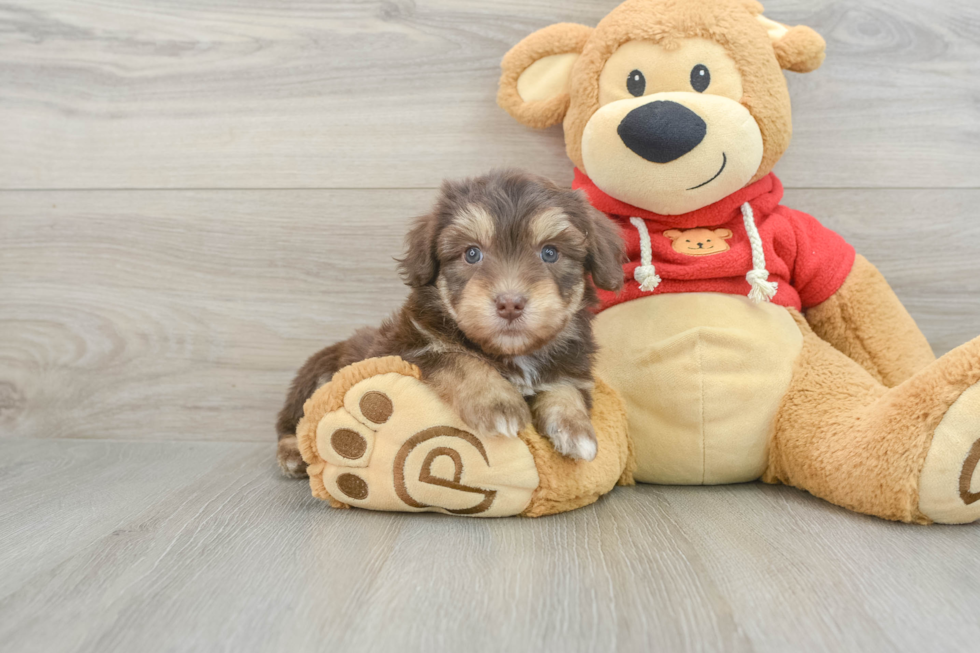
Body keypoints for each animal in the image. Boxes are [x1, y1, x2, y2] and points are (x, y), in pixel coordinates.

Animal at [276, 168, 624, 476]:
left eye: (550, 253)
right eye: (472, 254)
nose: (510, 303)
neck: (512, 354)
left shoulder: (571, 366)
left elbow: (565, 386)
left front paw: (576, 428)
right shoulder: (407, 348)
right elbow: (459, 358)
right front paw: (497, 403)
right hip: (316, 374)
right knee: (296, 419)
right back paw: (292, 453)